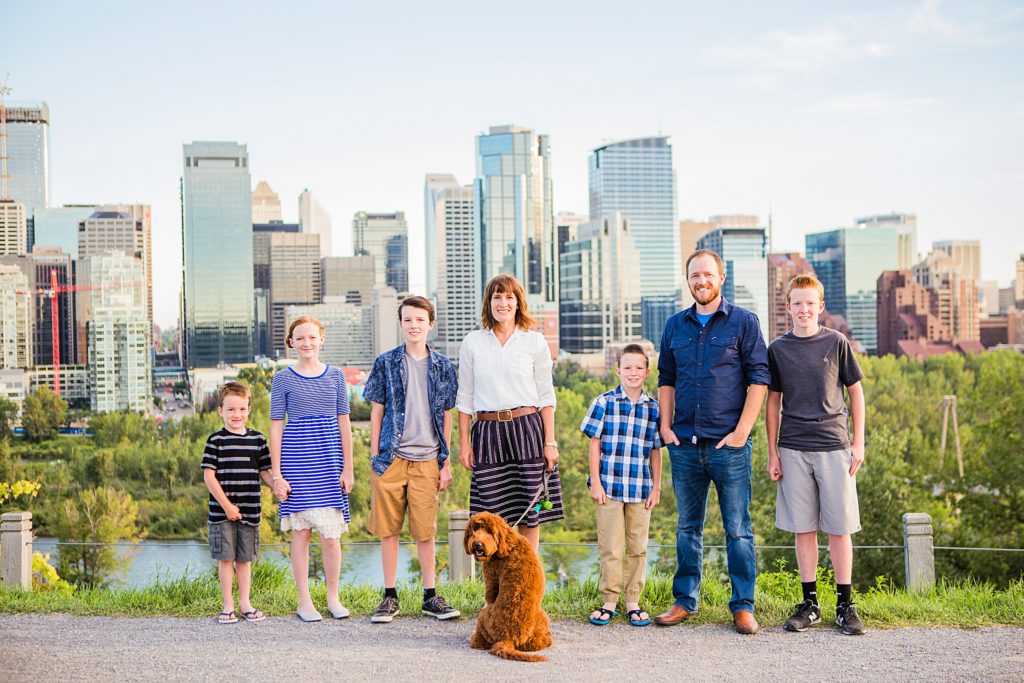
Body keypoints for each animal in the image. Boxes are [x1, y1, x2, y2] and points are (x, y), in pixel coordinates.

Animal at [464, 511, 552, 663]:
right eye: (474, 529)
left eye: (489, 531)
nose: (477, 545)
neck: (508, 544)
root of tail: (508, 638)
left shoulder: (491, 575)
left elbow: (490, 594)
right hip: (542, 617)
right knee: (536, 644)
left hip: (483, 616)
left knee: (480, 640)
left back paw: (476, 639)